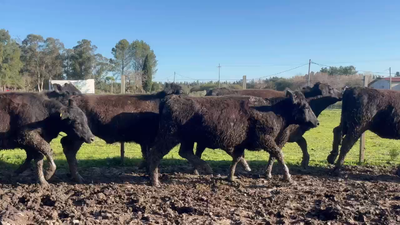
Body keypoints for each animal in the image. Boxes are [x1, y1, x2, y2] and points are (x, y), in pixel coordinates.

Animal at [147, 89, 318, 186]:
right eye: (305, 107)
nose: (317, 122)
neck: (273, 110)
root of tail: (171, 99)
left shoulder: (241, 144)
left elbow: (237, 158)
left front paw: (231, 177)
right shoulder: (266, 139)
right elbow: (279, 154)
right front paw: (288, 177)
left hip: (186, 139)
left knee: (185, 152)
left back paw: (205, 167)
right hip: (169, 137)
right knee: (155, 154)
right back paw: (155, 181)